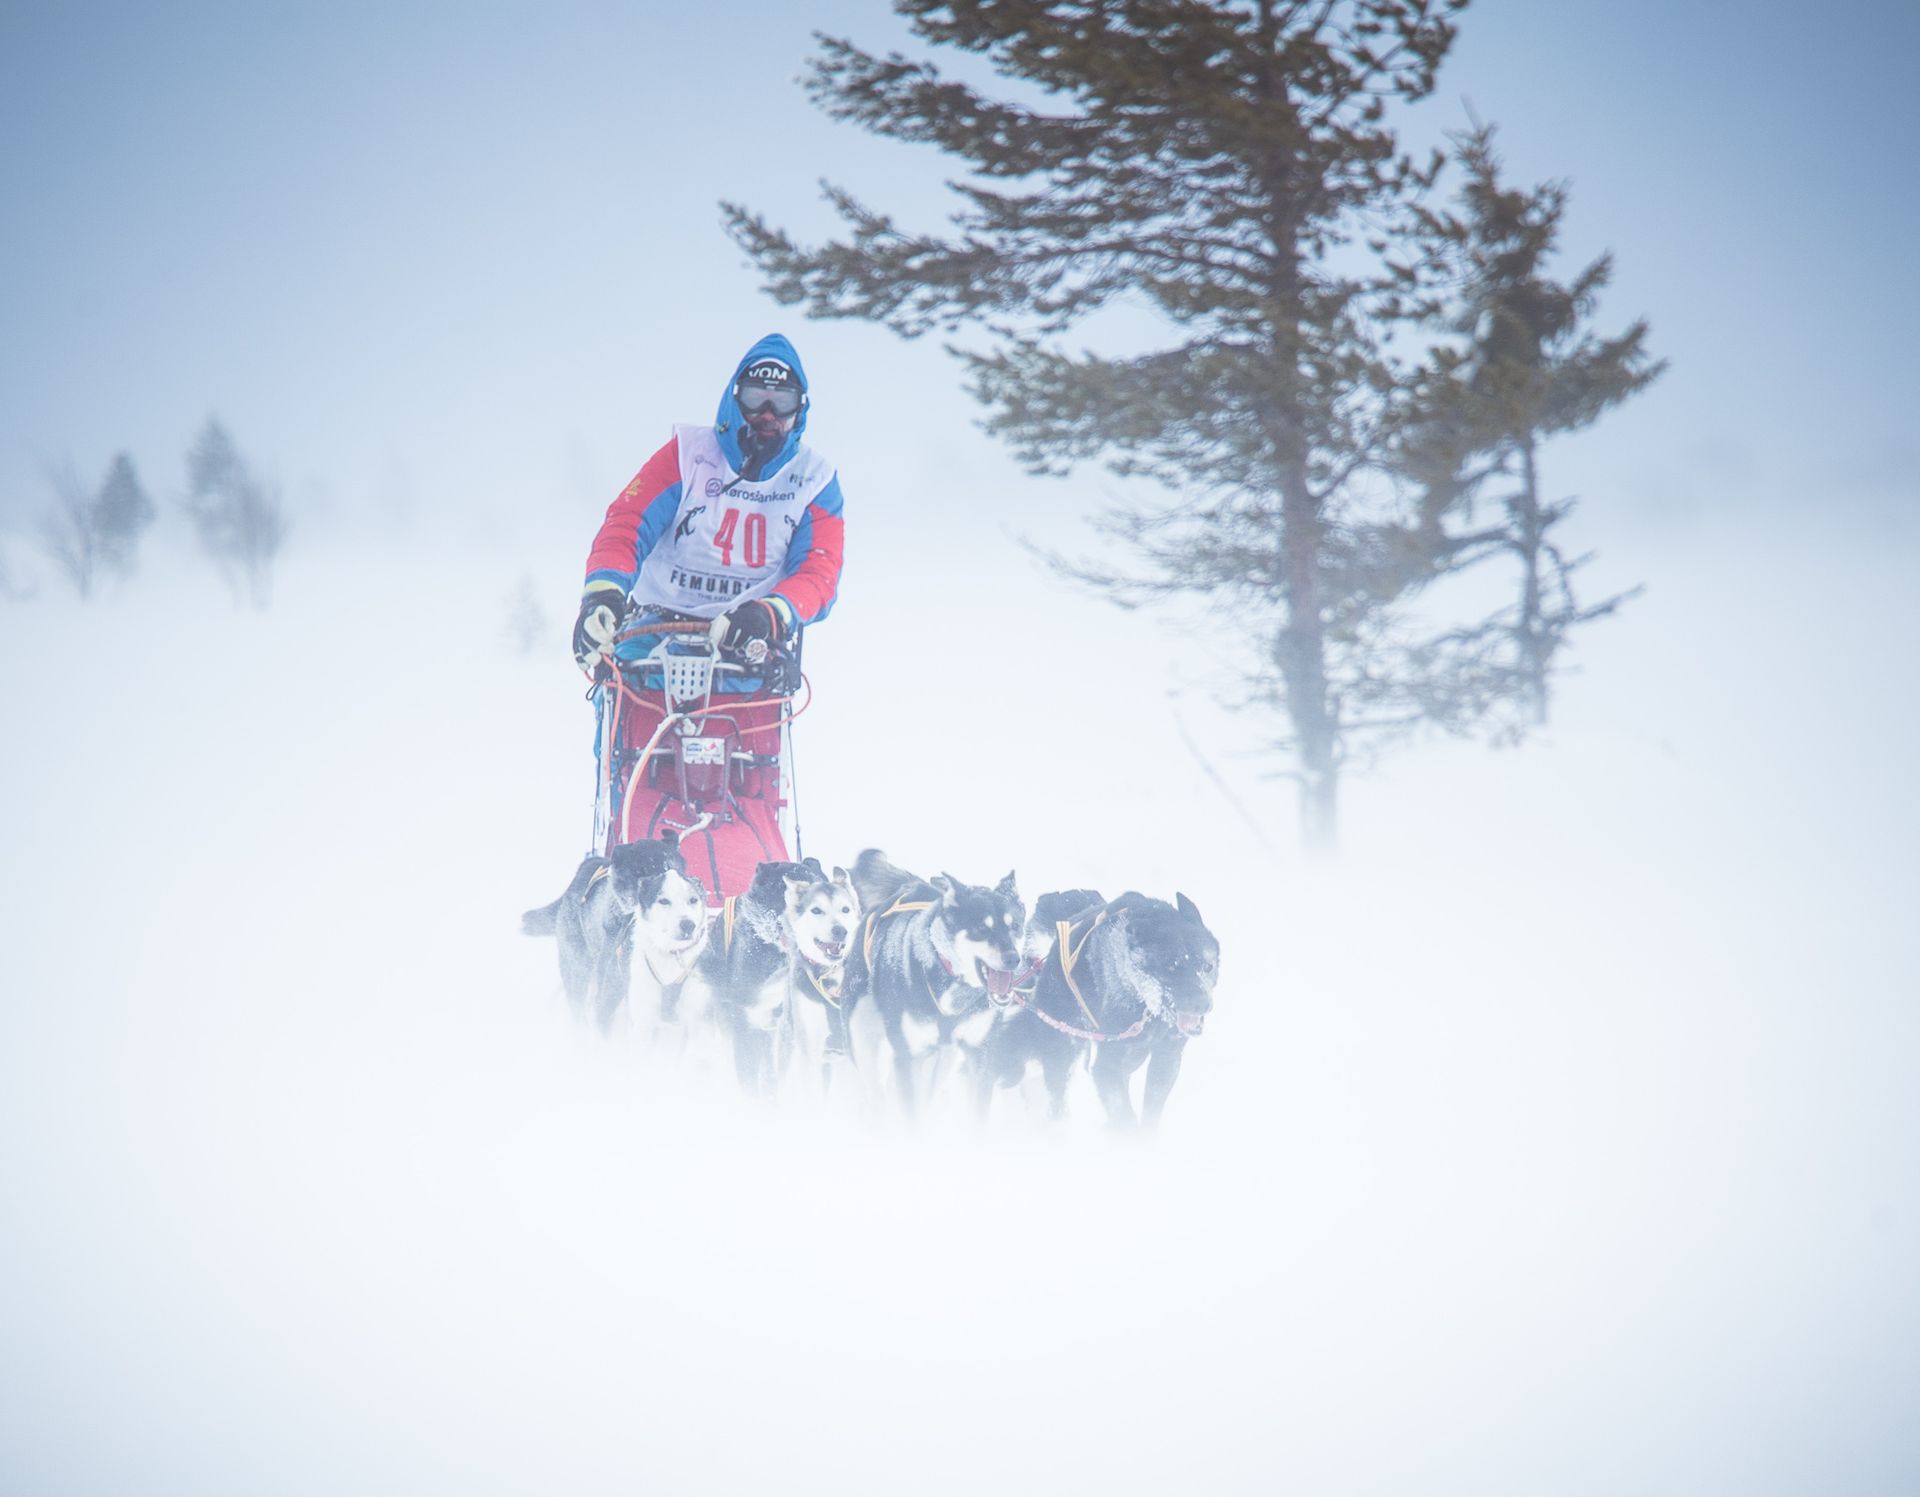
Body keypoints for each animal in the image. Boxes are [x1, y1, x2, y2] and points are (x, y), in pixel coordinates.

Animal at [983, 894, 1221, 1128]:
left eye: (1207, 966)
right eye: (1171, 966)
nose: (1203, 1004)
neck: (1147, 1009)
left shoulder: (1167, 1056)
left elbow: (1150, 1113)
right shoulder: (1107, 1064)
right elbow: (1124, 1115)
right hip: (1062, 1043)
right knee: (1056, 1088)